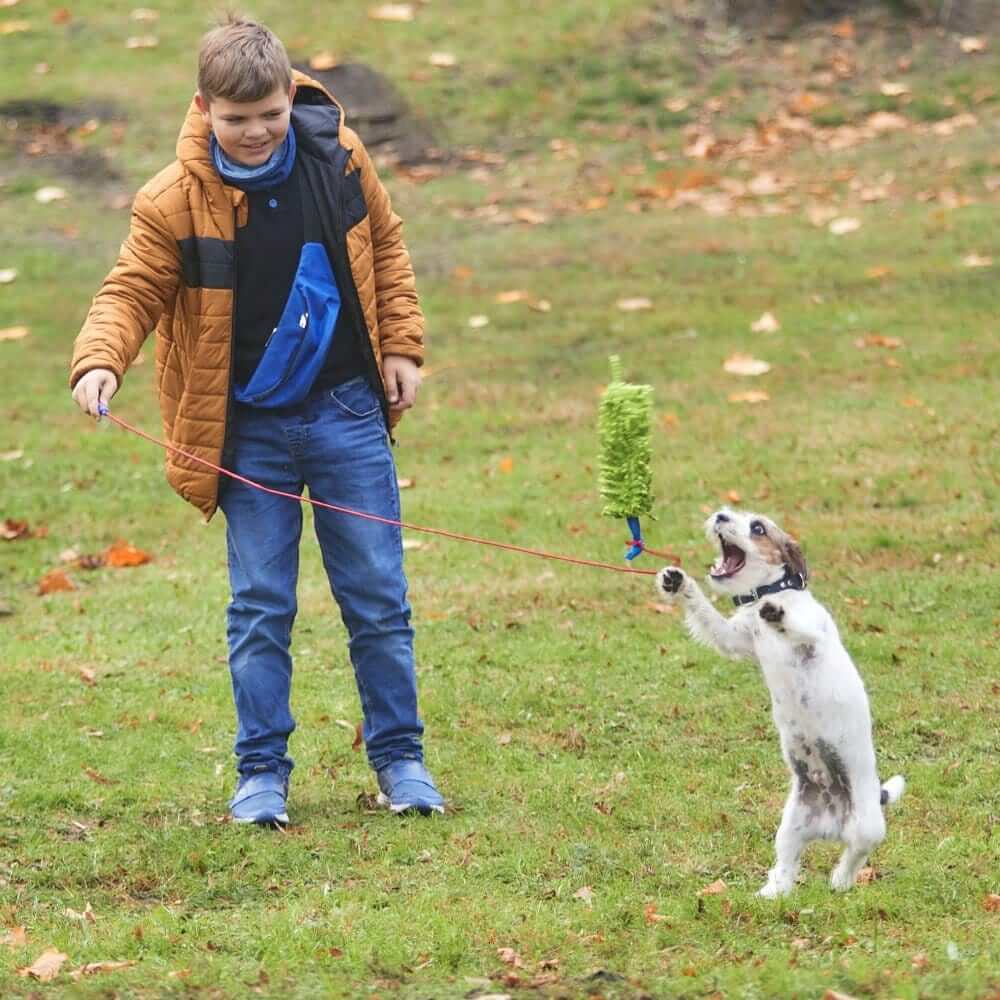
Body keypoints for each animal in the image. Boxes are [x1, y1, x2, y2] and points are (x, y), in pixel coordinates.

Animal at [656, 508, 908, 900]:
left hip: (866, 827)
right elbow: (707, 614)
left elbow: (799, 629)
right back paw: (771, 893)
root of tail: (831, 824)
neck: (767, 594)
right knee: (787, 867)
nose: (721, 514)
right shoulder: (735, 639)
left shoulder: (813, 635)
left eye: (757, 527)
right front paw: (676, 581)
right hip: (790, 828)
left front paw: (778, 616)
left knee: (856, 855)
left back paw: (839, 880)